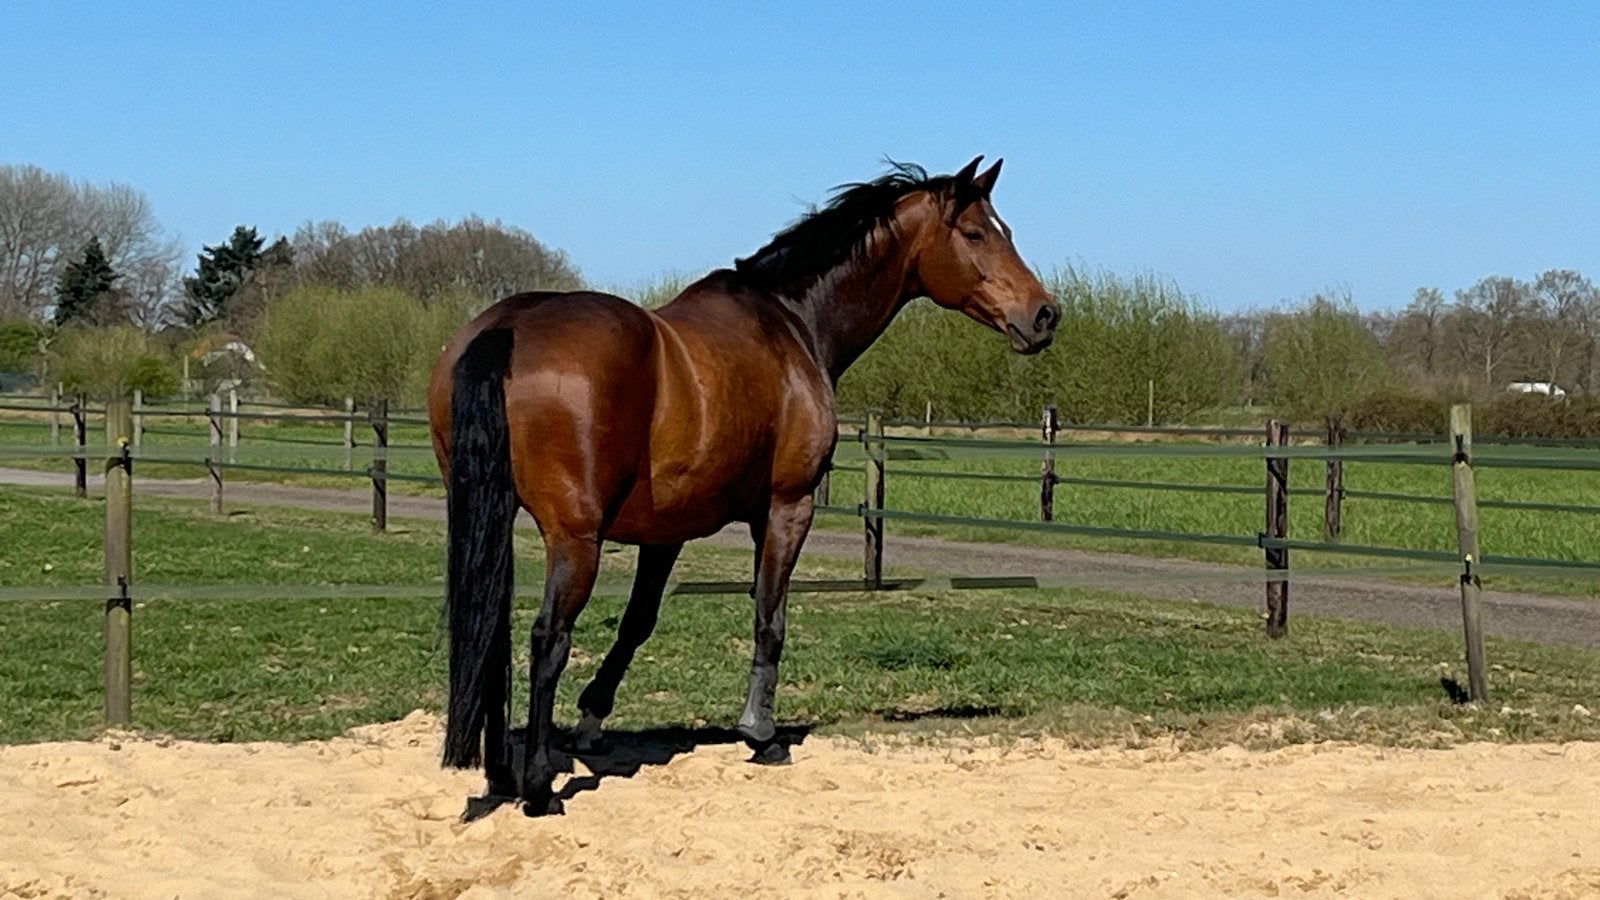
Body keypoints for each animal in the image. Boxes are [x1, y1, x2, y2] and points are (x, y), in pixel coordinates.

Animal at [427, 155, 1059, 820]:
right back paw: (537, 790)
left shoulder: (666, 532)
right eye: (977, 234)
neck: (792, 323)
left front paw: (593, 722)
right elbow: (769, 616)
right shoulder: (785, 508)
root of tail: (508, 329)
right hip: (576, 539)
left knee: (489, 637)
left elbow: (638, 622)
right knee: (547, 639)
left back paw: (499, 772)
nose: (1044, 315)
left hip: (487, 519)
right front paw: (761, 734)